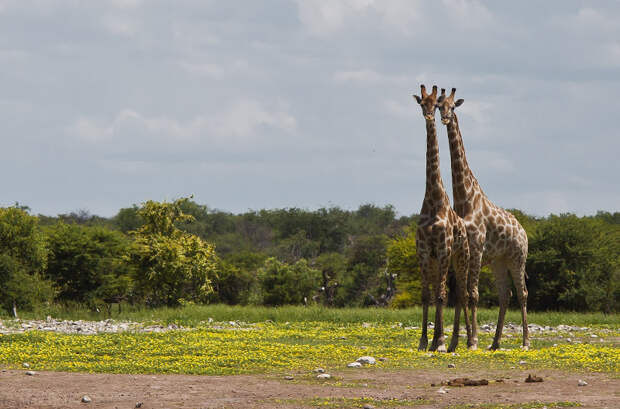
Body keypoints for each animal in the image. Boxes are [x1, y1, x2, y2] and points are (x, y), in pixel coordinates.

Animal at [436, 87, 528, 350]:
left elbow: (473, 294)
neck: (465, 198)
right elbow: (461, 294)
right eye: (439, 106)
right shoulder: (460, 251)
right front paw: (457, 341)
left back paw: (525, 342)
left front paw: (473, 340)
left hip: (517, 258)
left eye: (452, 106)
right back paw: (495, 343)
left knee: (522, 293)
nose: (444, 118)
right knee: (505, 295)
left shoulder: (475, 249)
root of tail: (524, 231)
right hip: (499, 262)